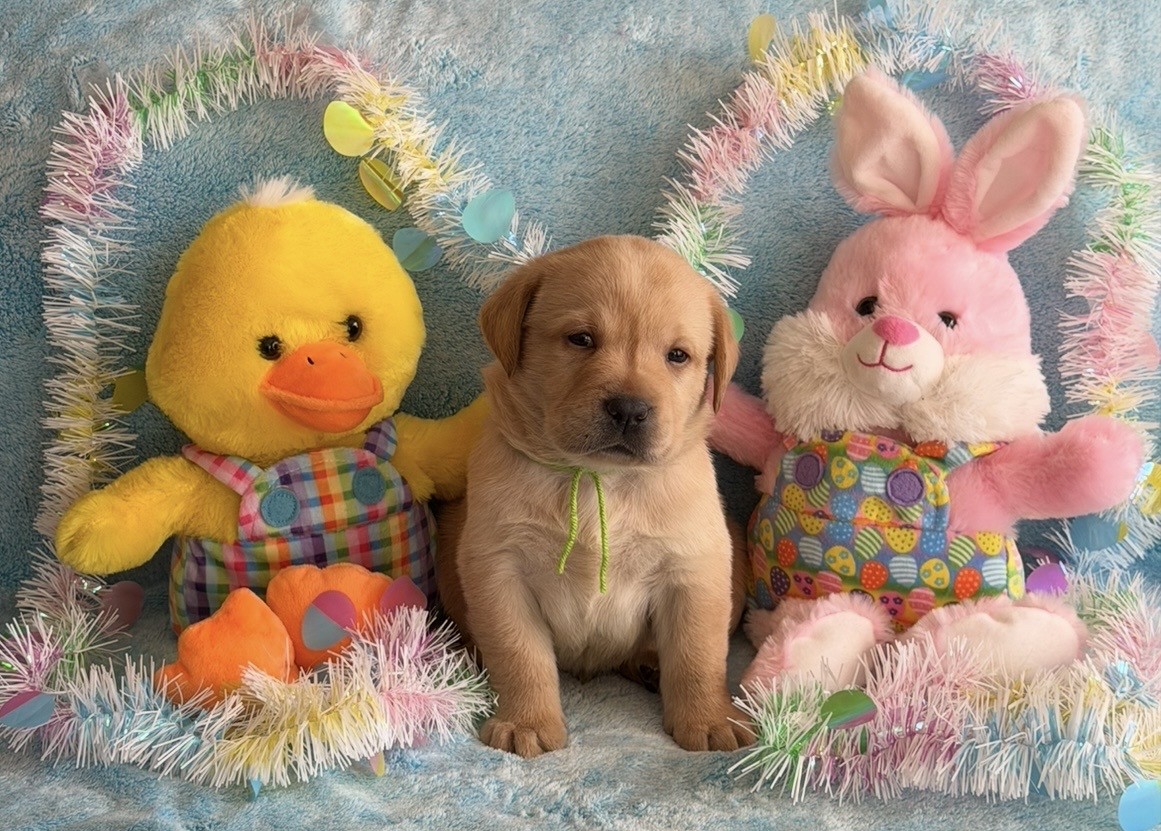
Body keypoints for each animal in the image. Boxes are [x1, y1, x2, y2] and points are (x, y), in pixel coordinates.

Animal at [436, 235, 753, 757]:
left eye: (678, 356)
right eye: (581, 339)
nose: (630, 409)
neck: (599, 480)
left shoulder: (695, 569)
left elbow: (698, 654)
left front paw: (709, 720)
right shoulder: (498, 568)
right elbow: (519, 654)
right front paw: (527, 722)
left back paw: (649, 664)